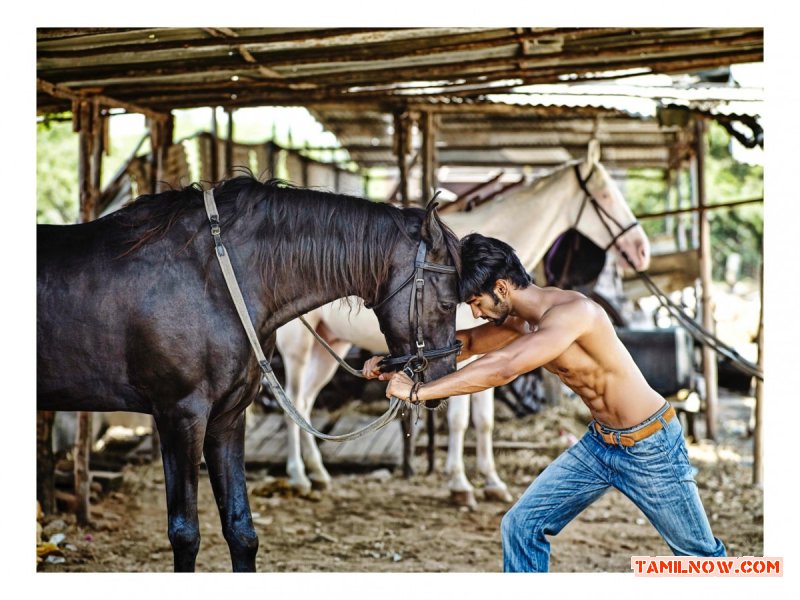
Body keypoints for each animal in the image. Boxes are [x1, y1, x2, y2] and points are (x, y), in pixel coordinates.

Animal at [36, 175, 462, 572]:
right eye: (446, 302)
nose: (445, 379)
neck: (215, 279)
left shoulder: (227, 417)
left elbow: (241, 531)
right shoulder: (179, 416)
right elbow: (185, 533)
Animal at [276, 143, 648, 504]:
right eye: (604, 195)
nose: (641, 250)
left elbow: (483, 421)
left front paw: (493, 483)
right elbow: (458, 419)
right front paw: (460, 484)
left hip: (332, 345)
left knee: (304, 402)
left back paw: (318, 474)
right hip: (298, 348)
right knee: (291, 400)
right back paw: (297, 476)